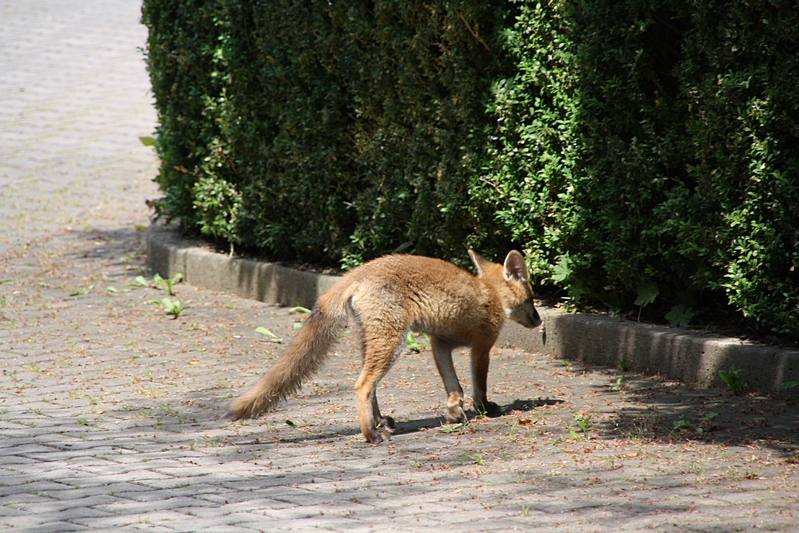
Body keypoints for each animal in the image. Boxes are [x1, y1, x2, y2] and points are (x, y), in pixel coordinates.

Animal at [228, 249, 541, 444]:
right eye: (532, 298)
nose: (539, 320)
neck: (490, 293)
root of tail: (359, 271)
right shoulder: (481, 347)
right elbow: (478, 386)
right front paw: (485, 409)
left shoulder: (440, 344)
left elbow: (454, 387)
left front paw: (454, 412)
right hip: (391, 342)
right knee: (362, 385)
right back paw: (371, 434)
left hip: (373, 342)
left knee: (372, 386)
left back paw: (379, 421)